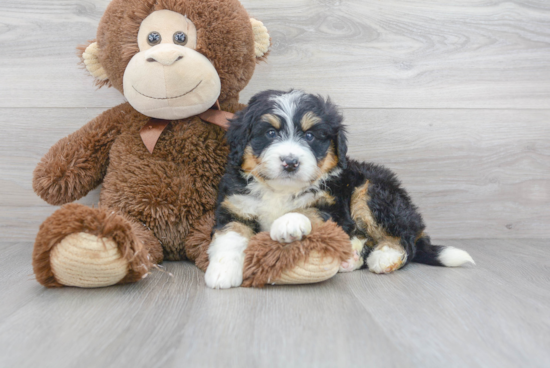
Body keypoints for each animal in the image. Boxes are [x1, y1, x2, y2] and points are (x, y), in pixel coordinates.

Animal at [205, 90, 476, 290]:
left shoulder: (331, 205)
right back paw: (351, 258)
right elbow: (230, 235)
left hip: (371, 190)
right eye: (270, 133)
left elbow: (308, 211)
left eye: (310, 136)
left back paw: (384, 257)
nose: (290, 162)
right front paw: (221, 272)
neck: (280, 189)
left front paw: (288, 222)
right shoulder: (235, 205)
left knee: (405, 241)